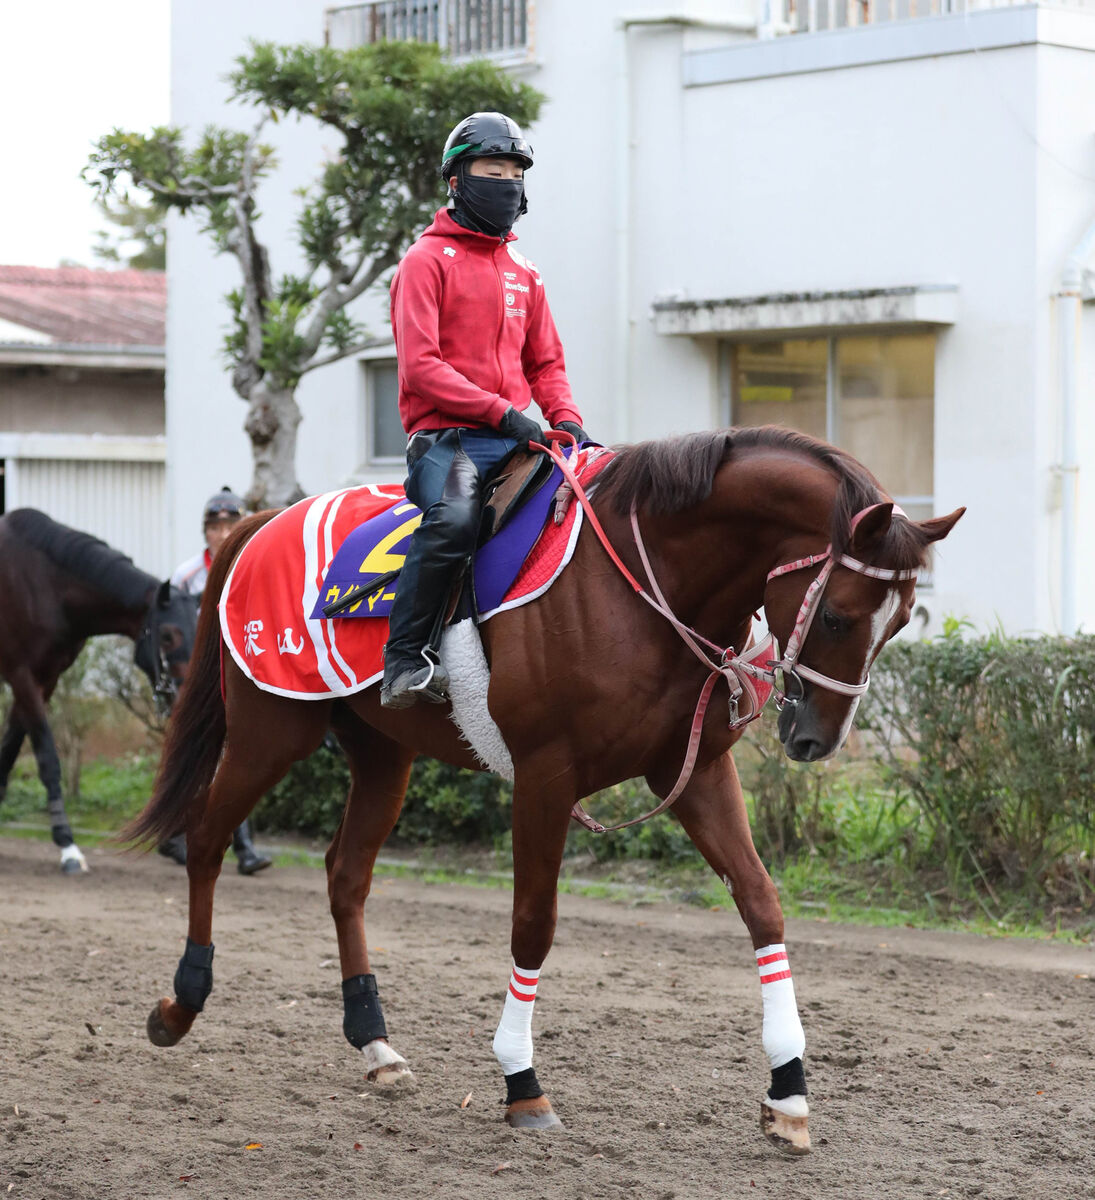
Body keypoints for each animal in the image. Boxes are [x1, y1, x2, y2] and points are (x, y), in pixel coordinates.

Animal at [0, 506, 196, 873]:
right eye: (167, 636)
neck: (45, 582)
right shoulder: (22, 674)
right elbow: (47, 756)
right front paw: (68, 846)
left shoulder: (46, 678)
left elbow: (11, 744)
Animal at [124, 429, 960, 1152]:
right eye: (837, 616)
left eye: (898, 623)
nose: (815, 739)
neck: (640, 582)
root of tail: (261, 522)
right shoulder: (543, 777)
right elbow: (533, 924)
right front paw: (521, 1082)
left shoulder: (693, 772)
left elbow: (761, 902)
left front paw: (787, 1090)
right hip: (271, 731)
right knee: (207, 837)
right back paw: (181, 1002)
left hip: (382, 754)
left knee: (345, 876)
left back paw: (376, 1045)